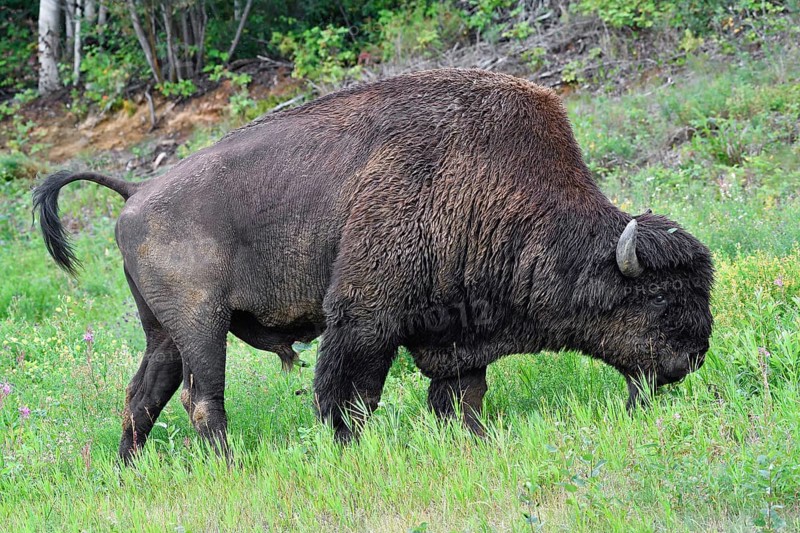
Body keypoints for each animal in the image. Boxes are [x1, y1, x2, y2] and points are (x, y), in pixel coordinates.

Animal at [34, 69, 713, 462]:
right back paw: (231, 467)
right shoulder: (365, 317)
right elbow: (351, 394)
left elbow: (464, 393)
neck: (500, 189)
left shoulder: (456, 327)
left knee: (143, 396)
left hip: (163, 333)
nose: (694, 355)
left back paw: (129, 470)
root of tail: (136, 192)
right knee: (203, 400)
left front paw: (473, 439)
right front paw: (349, 449)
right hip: (203, 325)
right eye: (657, 297)